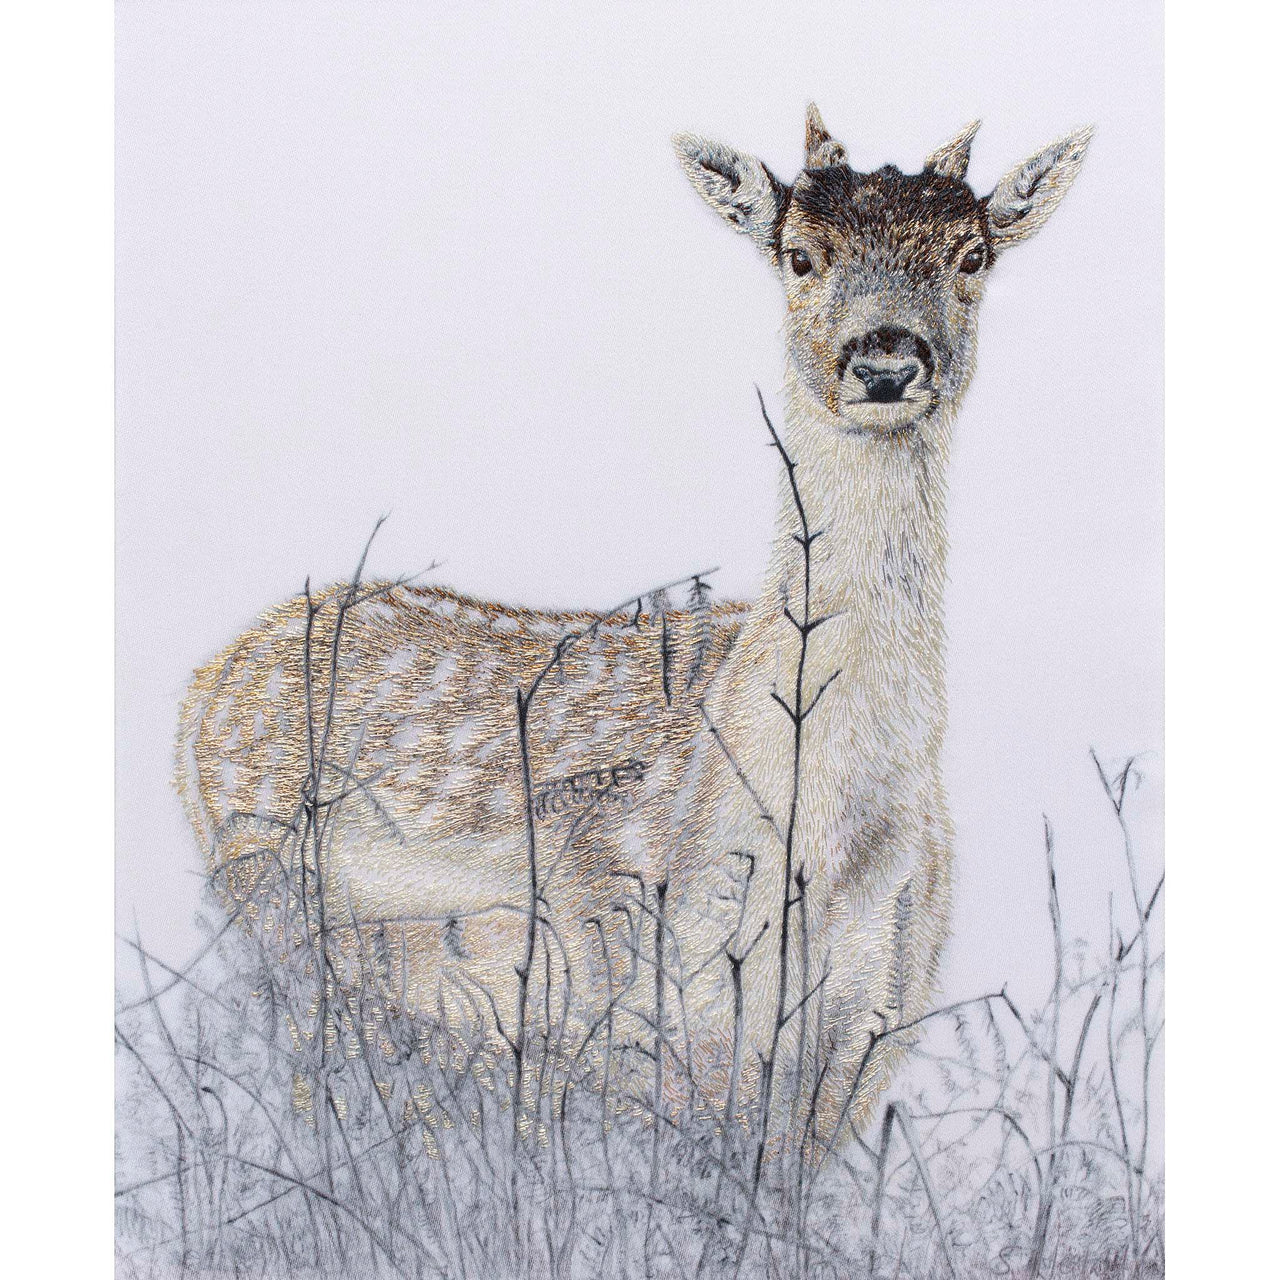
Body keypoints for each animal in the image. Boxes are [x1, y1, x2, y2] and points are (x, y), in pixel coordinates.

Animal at [176, 105, 1092, 1159]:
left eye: (972, 253)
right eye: (799, 254)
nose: (887, 360)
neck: (823, 840)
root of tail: (203, 684)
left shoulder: (873, 1027)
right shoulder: (636, 988)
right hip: (277, 908)